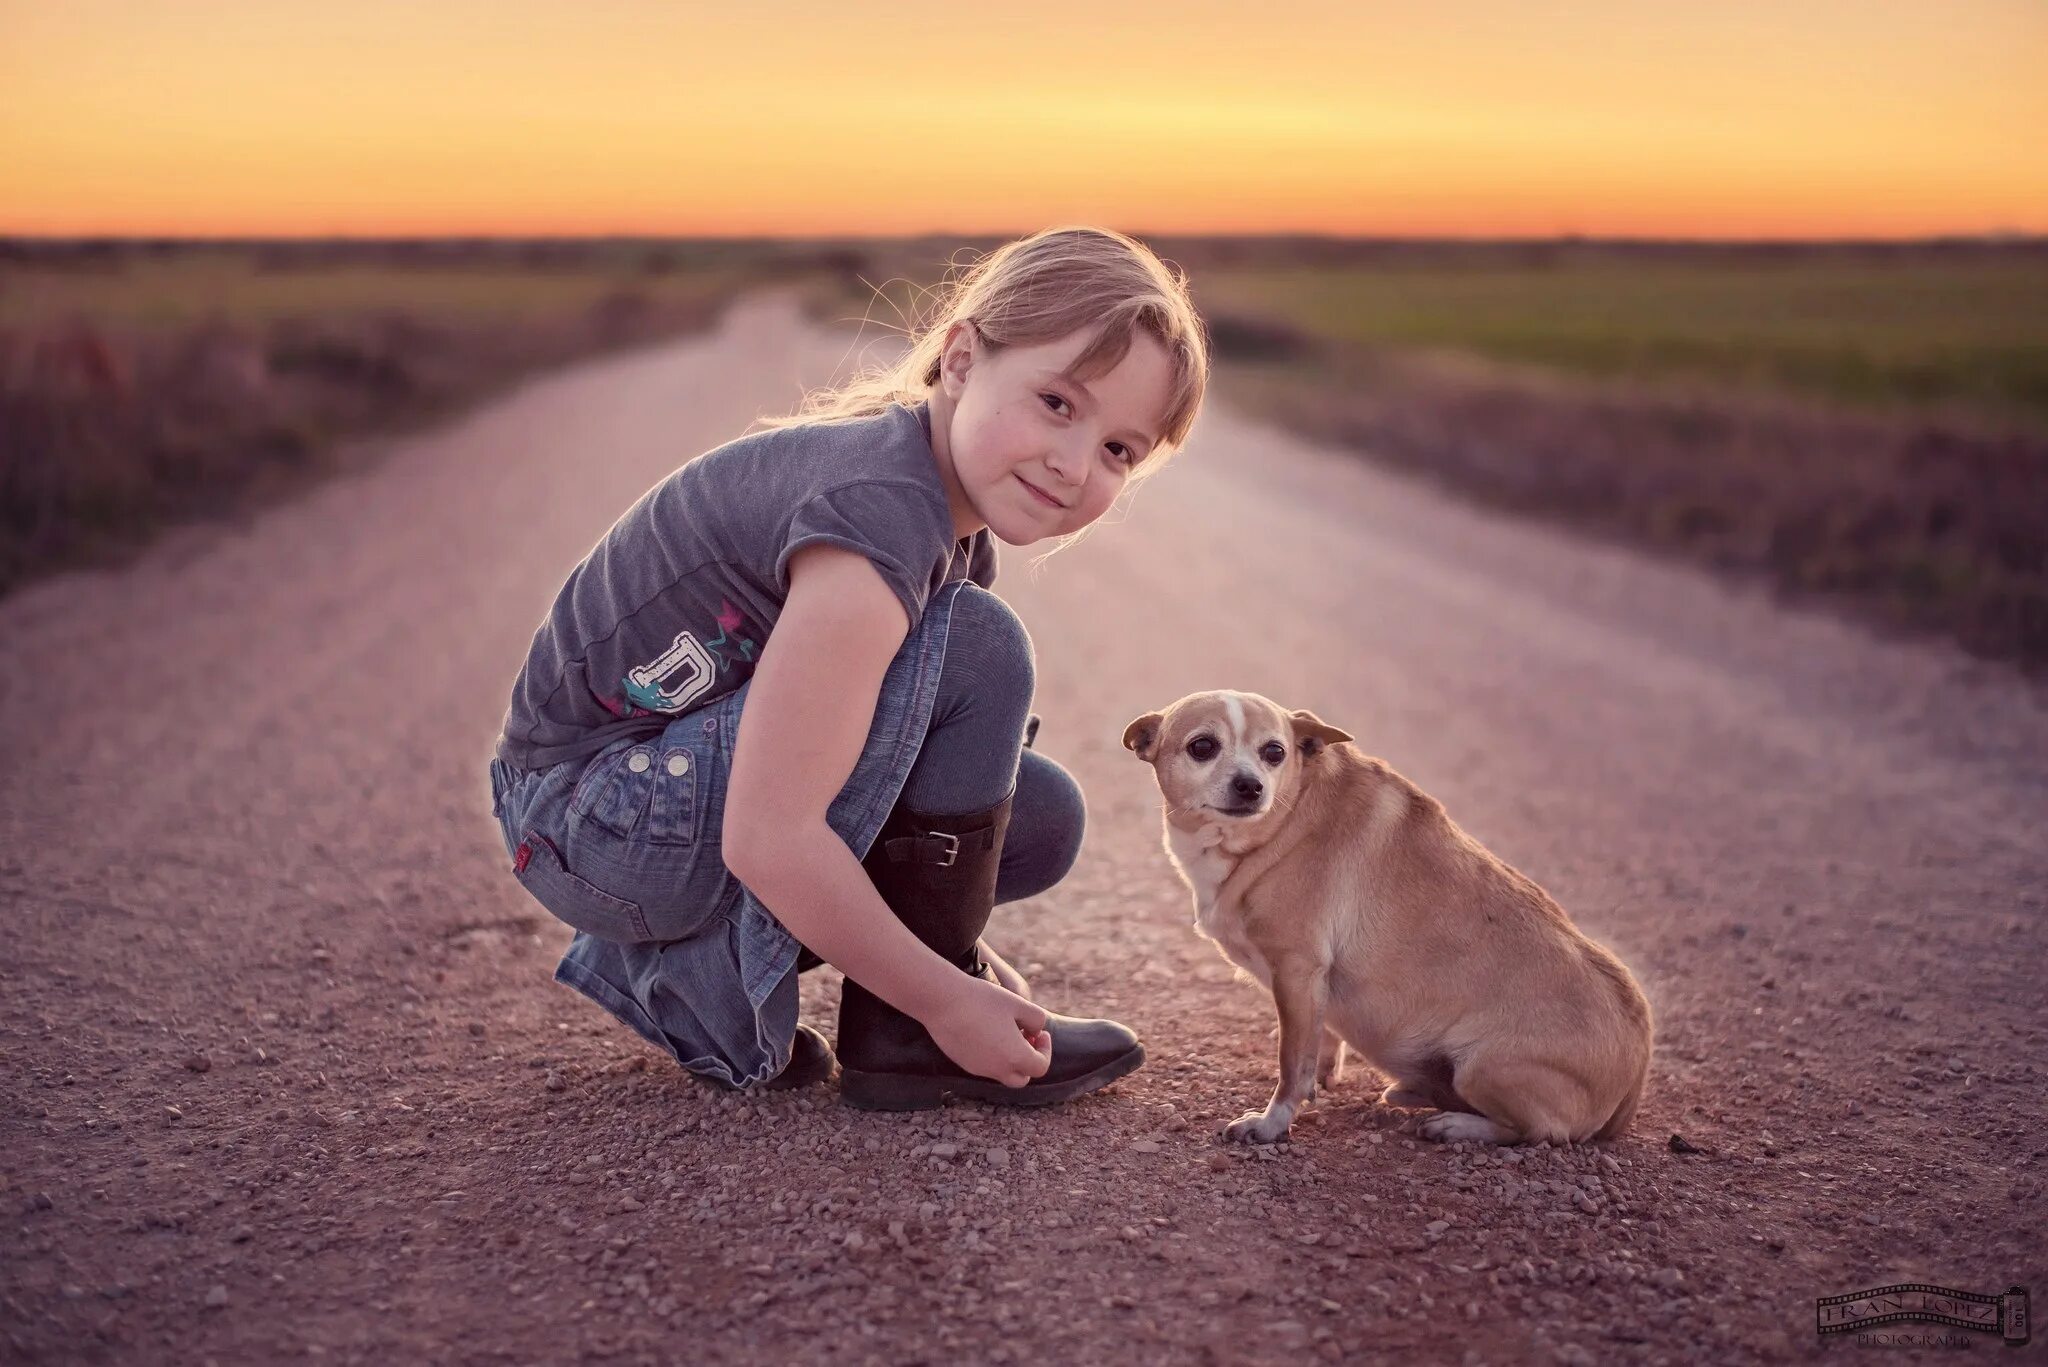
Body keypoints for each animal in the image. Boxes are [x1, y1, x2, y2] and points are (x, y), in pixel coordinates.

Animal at [1130, 688, 1654, 1147]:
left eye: (1274, 752)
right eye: (1202, 746)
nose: (1251, 786)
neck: (1279, 822)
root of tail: (1639, 1063)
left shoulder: (1297, 969)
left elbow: (1291, 1064)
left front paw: (1271, 1124)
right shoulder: (1311, 987)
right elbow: (1317, 1041)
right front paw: (1320, 1078)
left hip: (1482, 1067)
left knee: (1541, 1132)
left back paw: (1456, 1125)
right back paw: (1414, 1091)